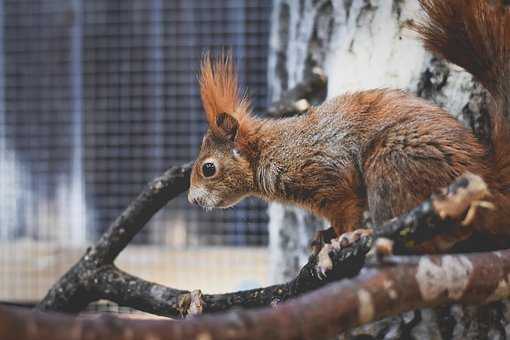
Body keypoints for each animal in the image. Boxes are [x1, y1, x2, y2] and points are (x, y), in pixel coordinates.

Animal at [189, 0, 510, 254]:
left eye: (208, 168)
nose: (192, 200)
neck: (272, 150)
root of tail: (488, 179)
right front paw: (323, 236)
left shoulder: (328, 179)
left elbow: (346, 211)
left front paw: (339, 239)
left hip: (392, 167)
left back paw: (366, 234)